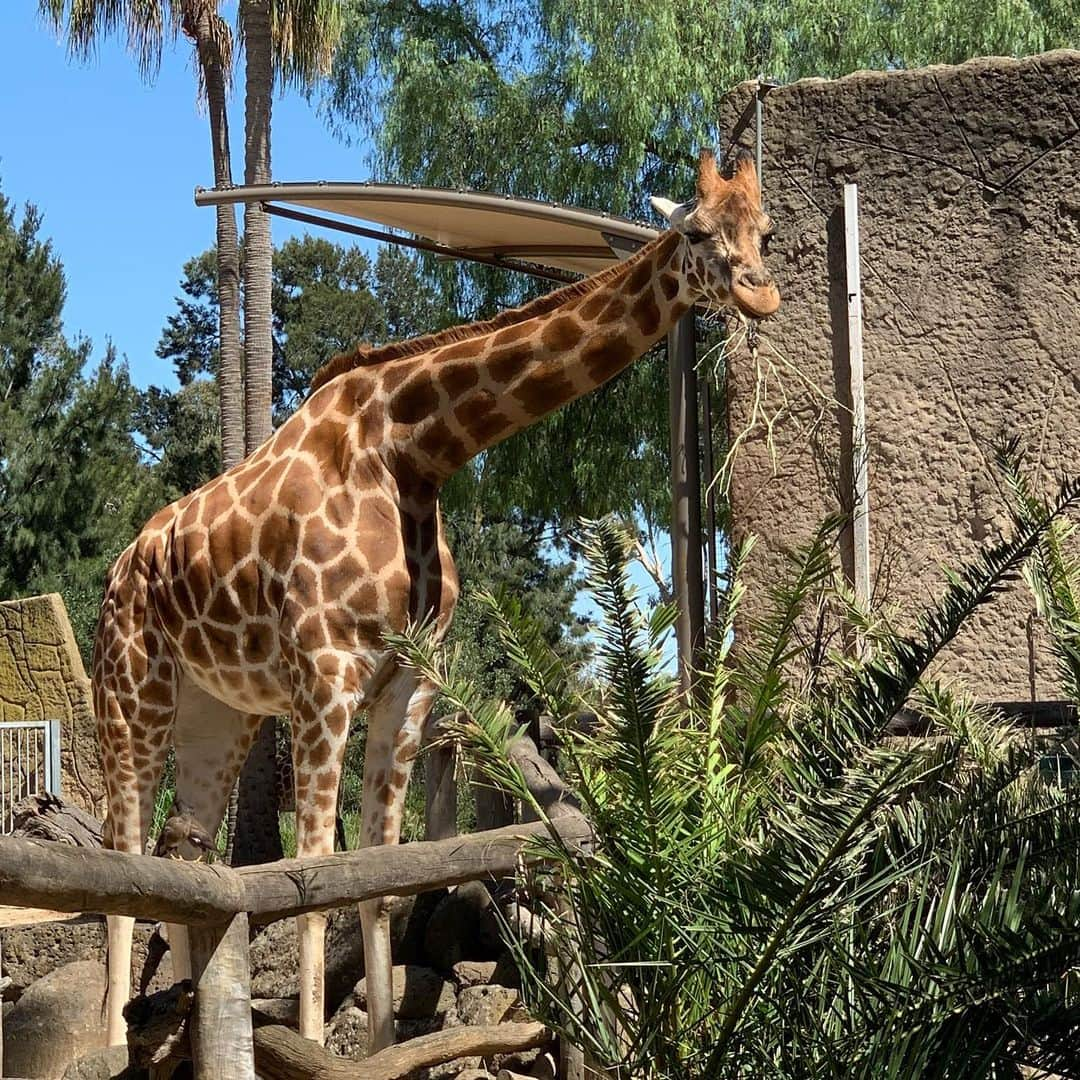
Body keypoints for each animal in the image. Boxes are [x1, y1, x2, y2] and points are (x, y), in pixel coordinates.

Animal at [95, 147, 777, 1049]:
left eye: (765, 230)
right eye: (698, 231)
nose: (761, 294)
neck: (415, 453)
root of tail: (119, 567)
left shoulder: (408, 685)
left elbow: (381, 879)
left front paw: (378, 1048)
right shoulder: (325, 679)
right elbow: (315, 878)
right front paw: (317, 1046)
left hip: (220, 715)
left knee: (183, 871)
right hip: (131, 694)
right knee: (122, 868)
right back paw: (110, 1045)